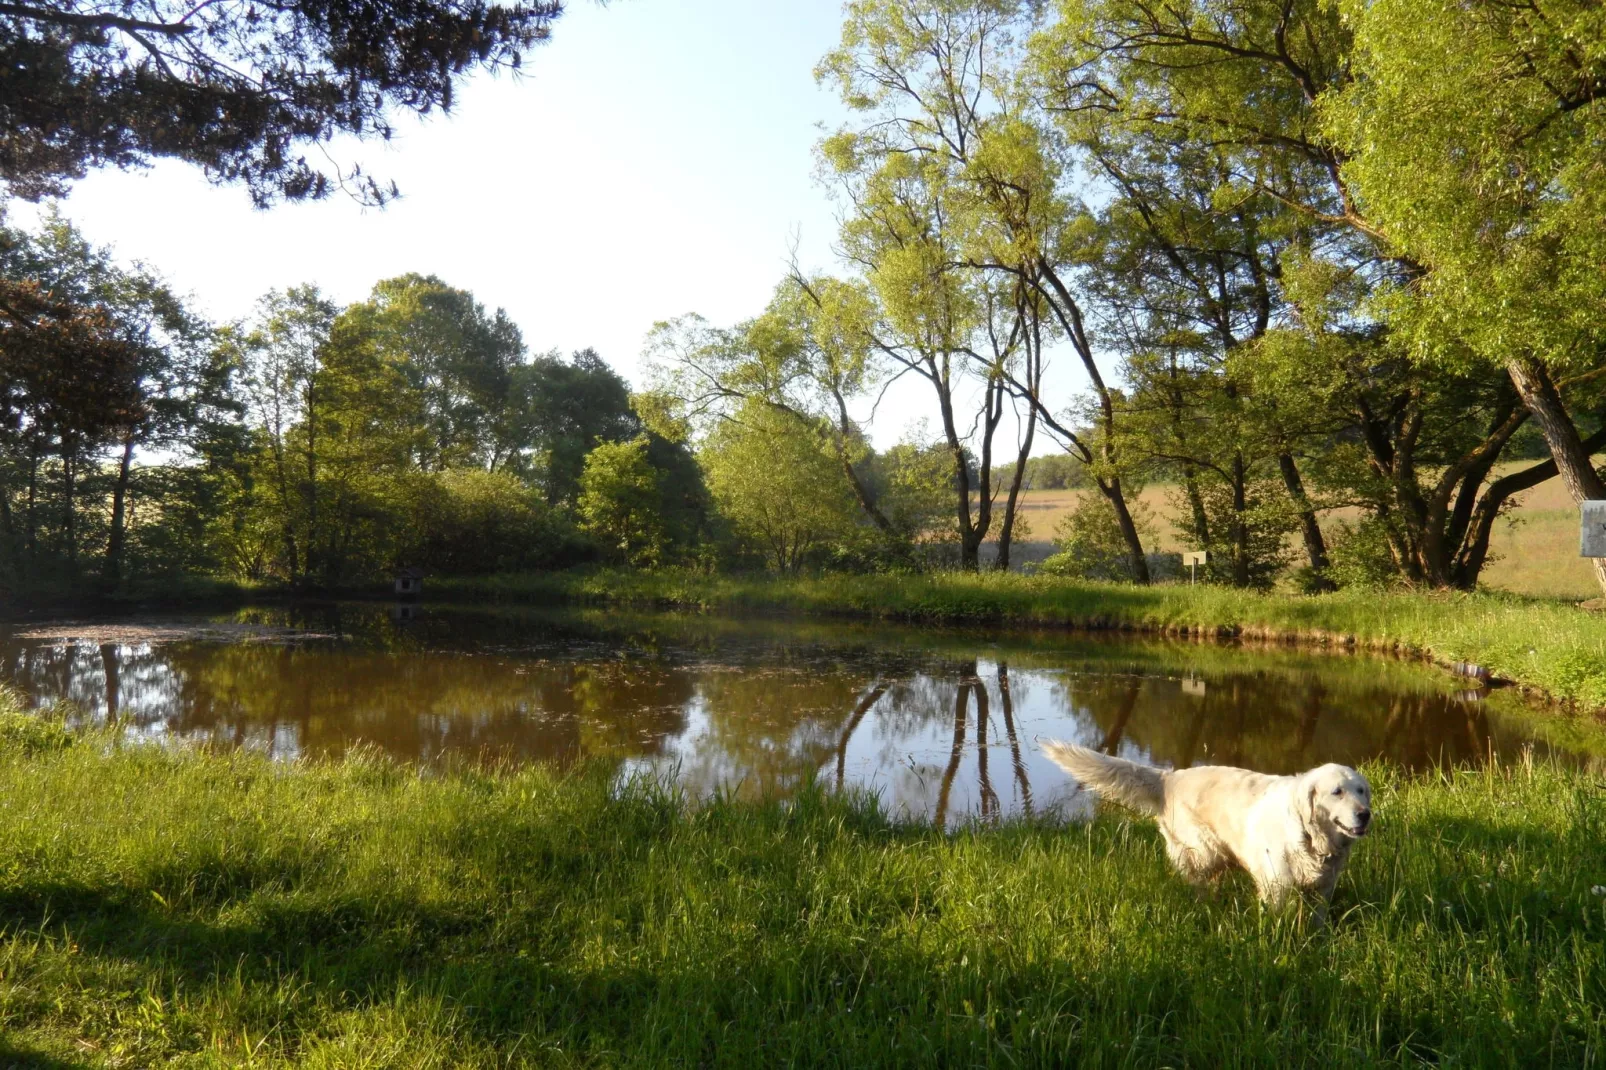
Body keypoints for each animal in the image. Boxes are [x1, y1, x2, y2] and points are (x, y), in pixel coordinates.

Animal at [1047, 742, 1374, 906]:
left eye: (1361, 791)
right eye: (1337, 792)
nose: (1365, 814)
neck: (1310, 837)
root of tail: (1169, 778)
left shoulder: (1324, 887)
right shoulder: (1277, 886)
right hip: (1203, 851)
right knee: (1196, 880)